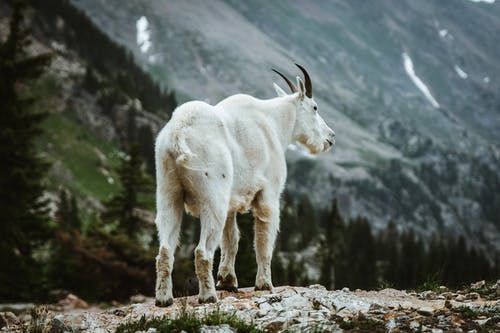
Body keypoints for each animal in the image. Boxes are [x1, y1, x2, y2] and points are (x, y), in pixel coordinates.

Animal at [154, 63, 338, 304]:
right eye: (314, 107)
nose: (331, 138)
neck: (274, 124)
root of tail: (179, 134)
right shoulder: (268, 195)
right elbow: (263, 241)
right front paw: (264, 284)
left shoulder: (231, 204)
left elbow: (232, 239)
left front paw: (228, 281)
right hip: (213, 197)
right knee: (202, 251)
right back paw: (208, 296)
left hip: (168, 191)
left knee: (165, 250)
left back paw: (164, 299)